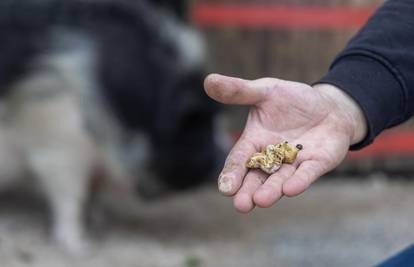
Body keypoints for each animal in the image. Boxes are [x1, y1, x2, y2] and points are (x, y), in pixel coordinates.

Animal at [0, 0, 225, 255]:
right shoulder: (60, 142)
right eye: (196, 122)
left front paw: (99, 222)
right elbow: (70, 197)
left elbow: (93, 191)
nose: (223, 156)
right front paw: (80, 247)